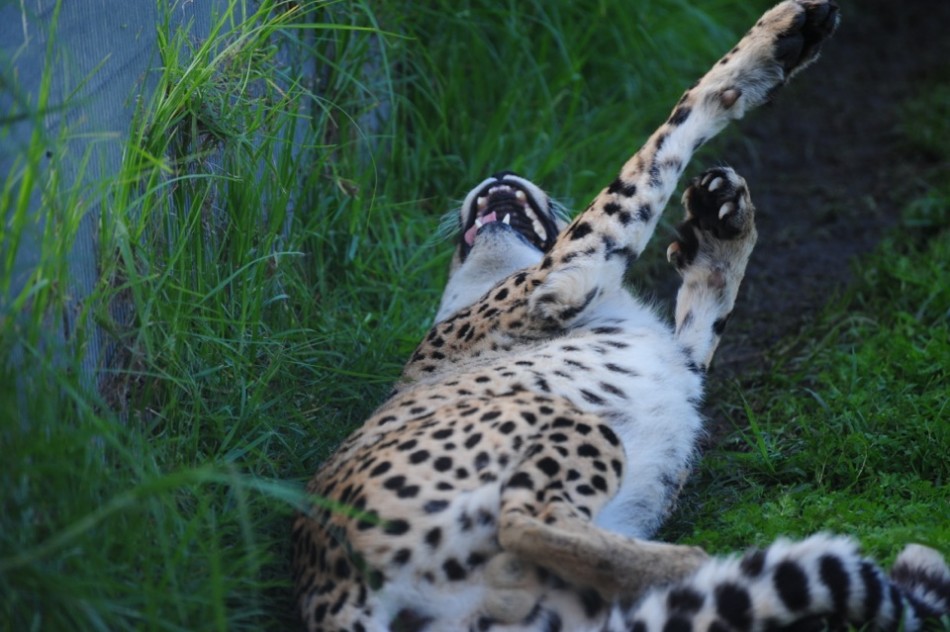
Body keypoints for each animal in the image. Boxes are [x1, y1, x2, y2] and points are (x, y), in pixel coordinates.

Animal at [292, 1, 950, 630]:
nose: (499, 172)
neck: (490, 276)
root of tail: (322, 575)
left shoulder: (659, 342)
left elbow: (704, 318)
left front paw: (723, 226)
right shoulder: (567, 275)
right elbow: (660, 144)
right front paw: (768, 48)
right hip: (565, 420)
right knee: (522, 519)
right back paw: (711, 561)